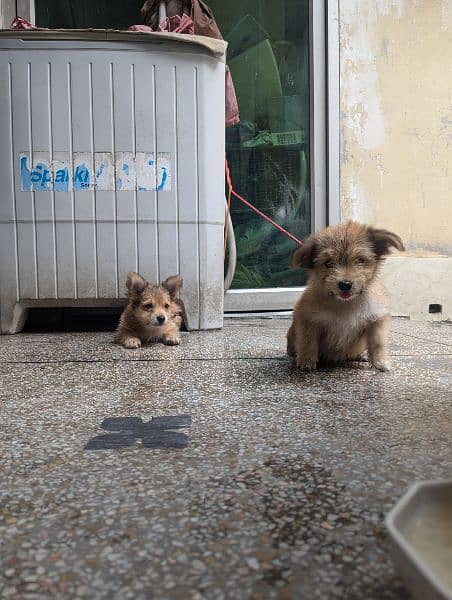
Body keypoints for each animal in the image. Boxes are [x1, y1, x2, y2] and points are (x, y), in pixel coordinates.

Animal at [288, 220, 404, 370]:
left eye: (360, 260)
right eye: (328, 263)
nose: (345, 284)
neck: (346, 303)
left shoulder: (377, 319)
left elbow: (378, 343)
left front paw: (380, 362)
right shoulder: (307, 318)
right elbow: (307, 341)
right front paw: (306, 361)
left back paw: (360, 355)